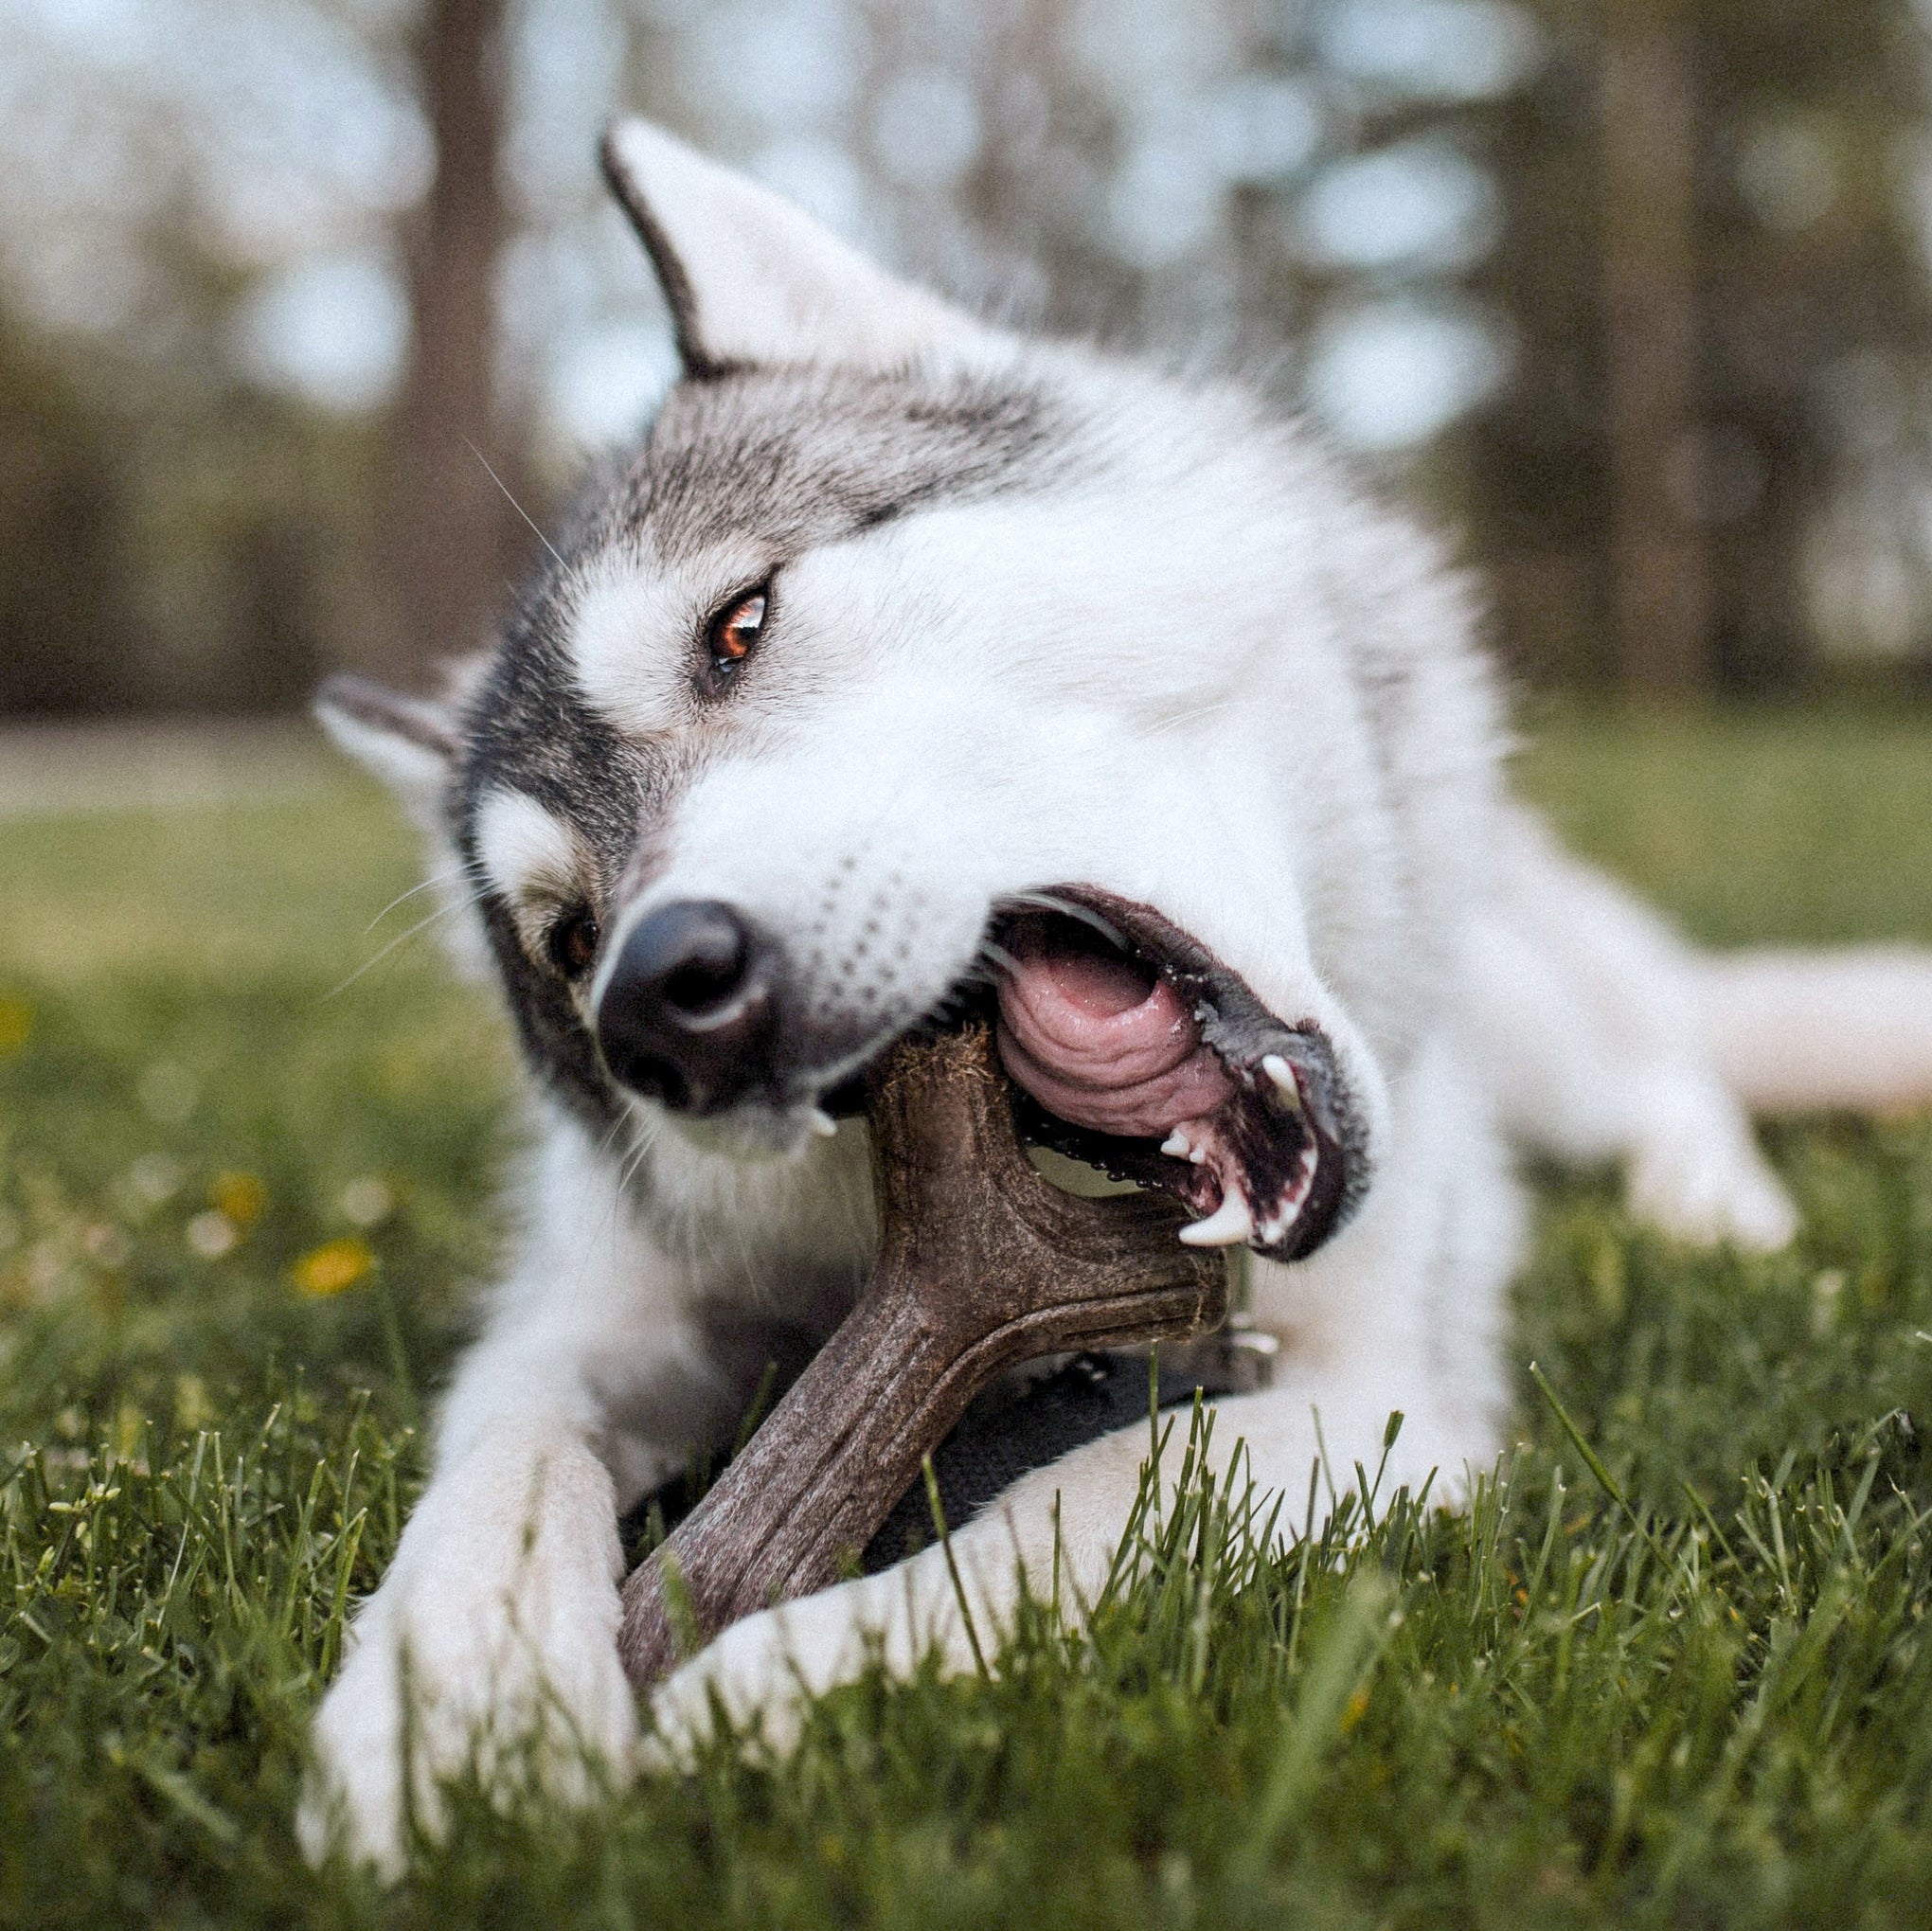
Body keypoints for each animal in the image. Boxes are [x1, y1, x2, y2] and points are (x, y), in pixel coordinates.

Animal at [297, 120, 1932, 1868]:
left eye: (738, 624)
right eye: (564, 940)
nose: (658, 1003)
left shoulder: (1379, 1400)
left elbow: (1079, 1499)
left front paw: (775, 1679)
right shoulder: (599, 1304)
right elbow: (506, 1444)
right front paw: (451, 1687)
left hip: (1528, 1014)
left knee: (1668, 1064)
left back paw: (1716, 1209)